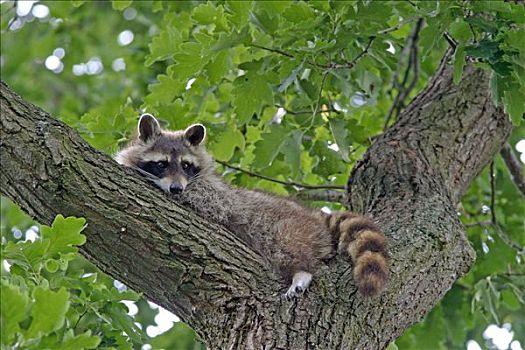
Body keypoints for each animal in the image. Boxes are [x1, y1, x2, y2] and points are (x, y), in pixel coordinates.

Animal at [115, 114, 388, 298]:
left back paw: (301, 271)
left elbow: (211, 202)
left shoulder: (212, 194)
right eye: (161, 164)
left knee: (288, 249)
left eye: (185, 165)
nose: (175, 190)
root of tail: (314, 214)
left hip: (287, 228)